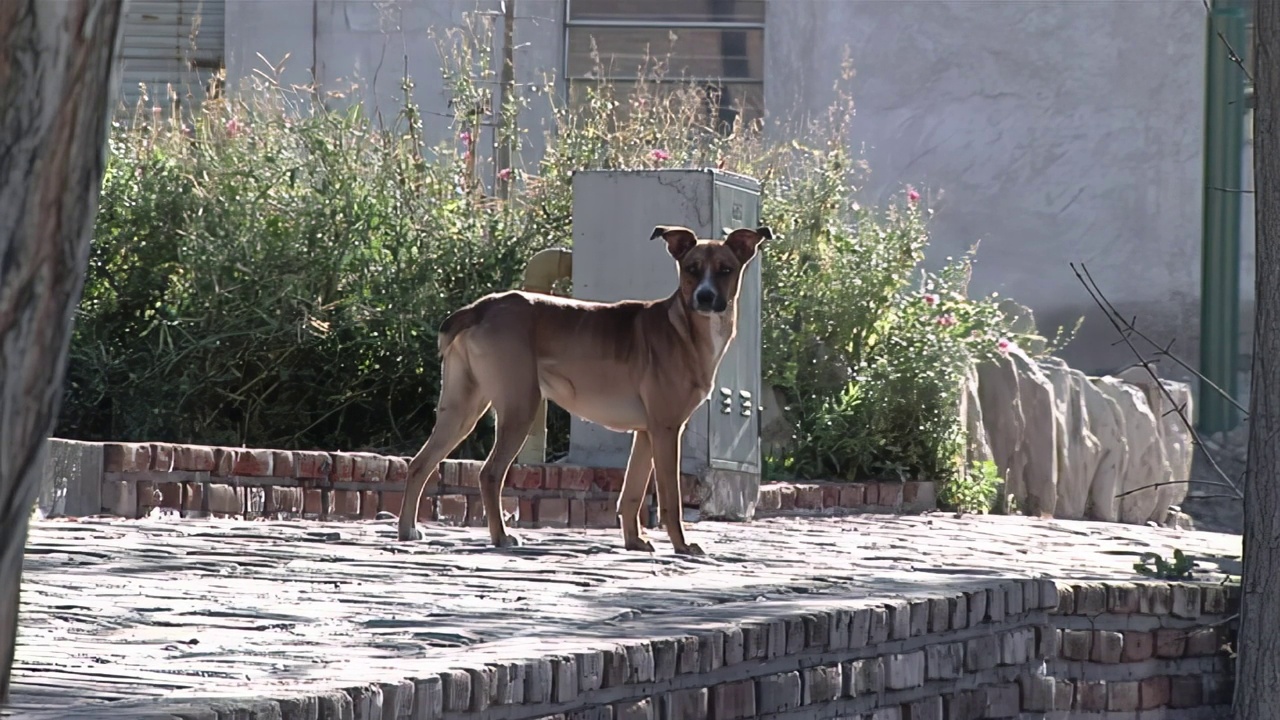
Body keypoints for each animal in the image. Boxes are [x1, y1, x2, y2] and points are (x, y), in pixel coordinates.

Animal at [396, 224, 768, 556]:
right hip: (519, 408)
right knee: (489, 474)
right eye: (692, 269)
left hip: (461, 411)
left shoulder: (646, 433)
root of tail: (481, 307)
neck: (684, 328)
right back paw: (500, 536)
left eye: (725, 270)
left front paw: (634, 542)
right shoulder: (666, 430)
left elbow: (631, 493)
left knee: (419, 464)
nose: (705, 297)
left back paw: (407, 530)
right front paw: (682, 546)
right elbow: (671, 500)